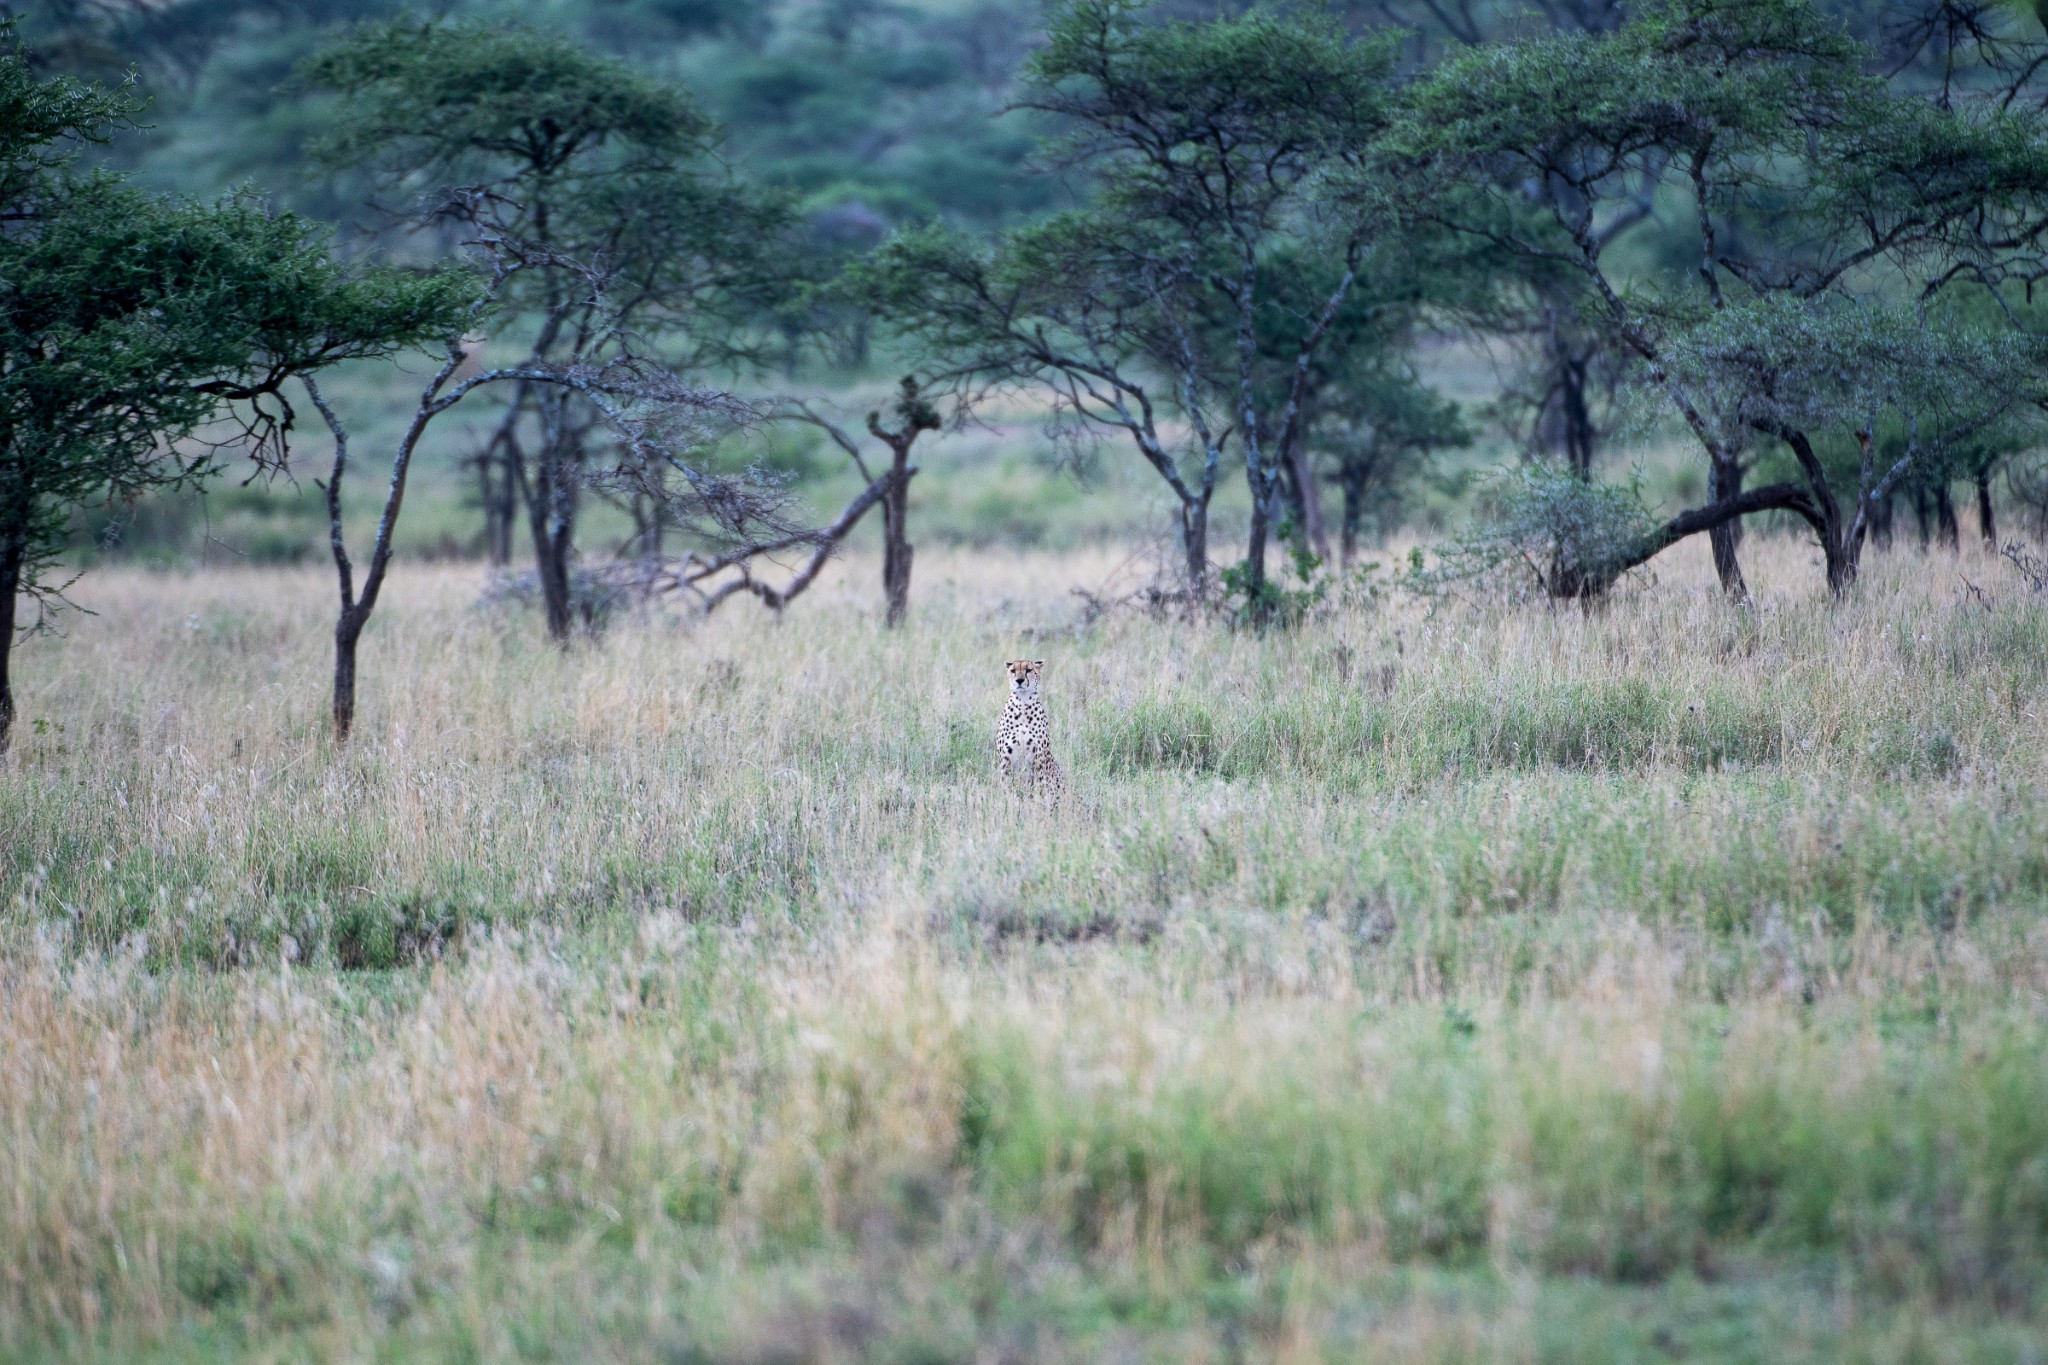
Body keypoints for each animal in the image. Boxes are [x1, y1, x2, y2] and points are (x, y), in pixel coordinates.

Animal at [995, 658, 1064, 802]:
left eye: (1028, 670)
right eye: (1013, 670)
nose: (1019, 680)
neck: (1022, 702)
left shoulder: (1039, 759)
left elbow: (1039, 785)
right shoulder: (1005, 759)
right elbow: (1005, 785)